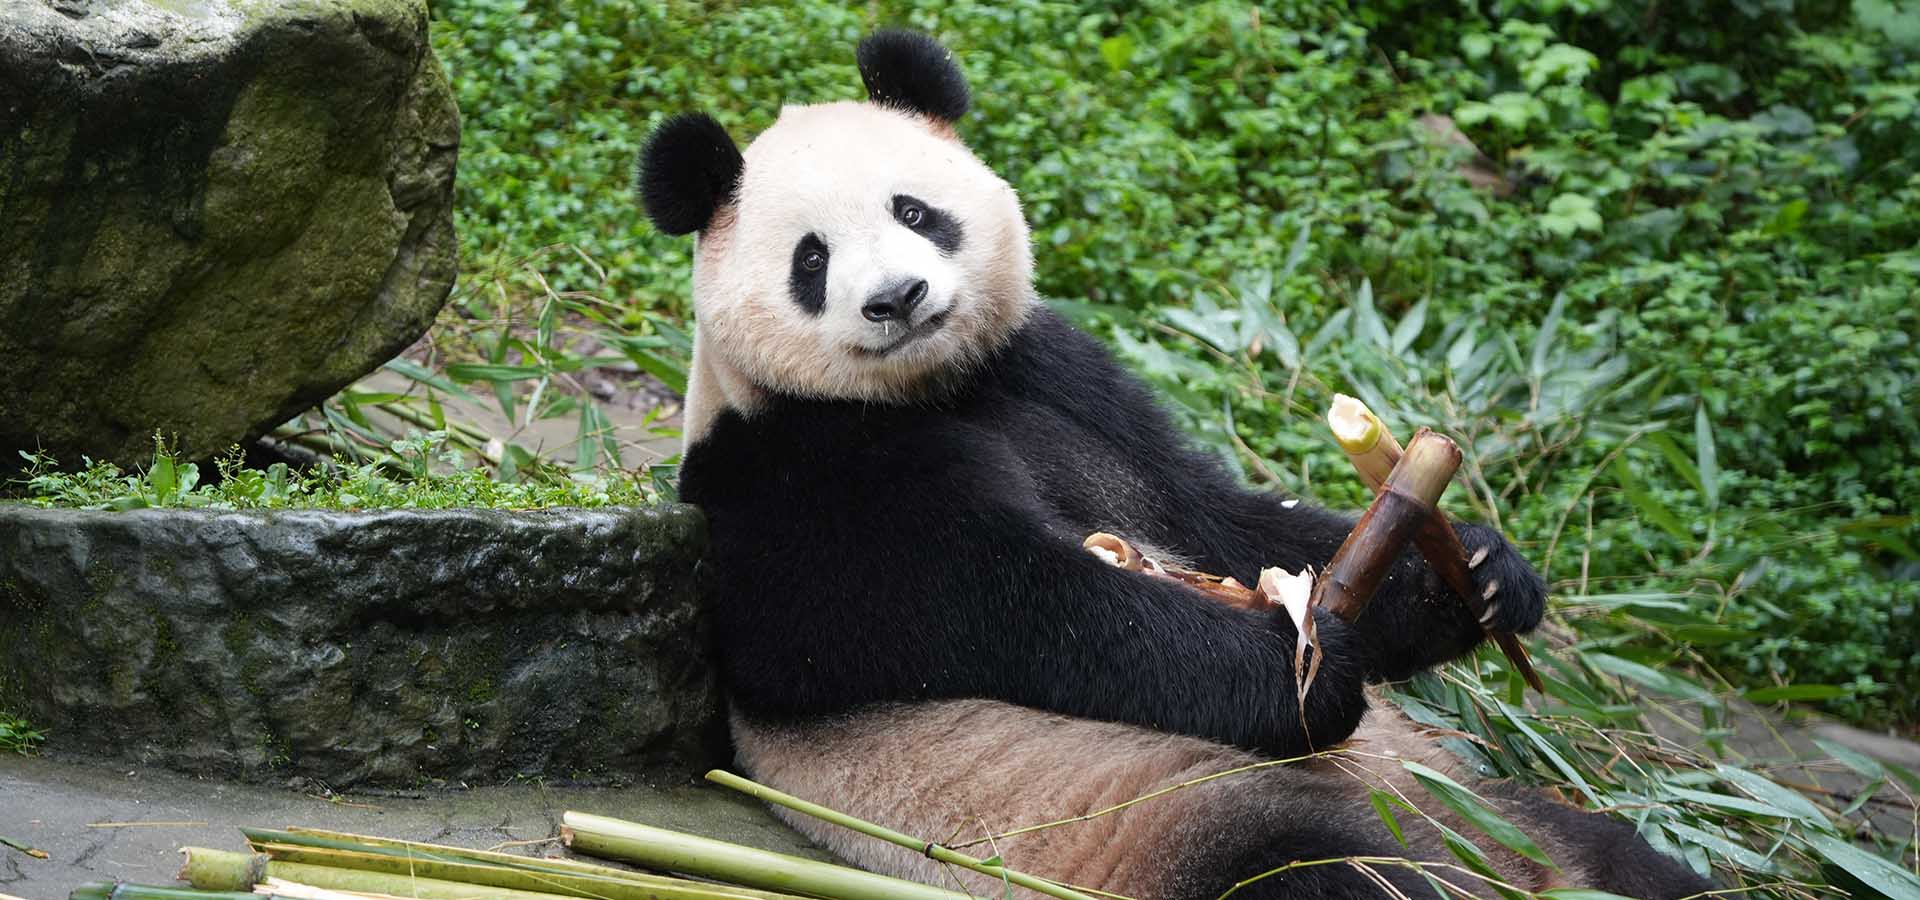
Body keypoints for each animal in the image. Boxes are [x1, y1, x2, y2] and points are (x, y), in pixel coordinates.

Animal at [641, 28, 1712, 898]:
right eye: (811, 259)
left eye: (915, 211)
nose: (898, 298)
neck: (930, 387)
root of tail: (1490, 864)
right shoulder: (794, 473)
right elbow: (998, 607)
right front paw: (1300, 668)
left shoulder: (1058, 374)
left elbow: (1220, 517)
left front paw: (1474, 574)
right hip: (1185, 819)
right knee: (1315, 874)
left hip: (1488, 802)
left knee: (1637, 862)